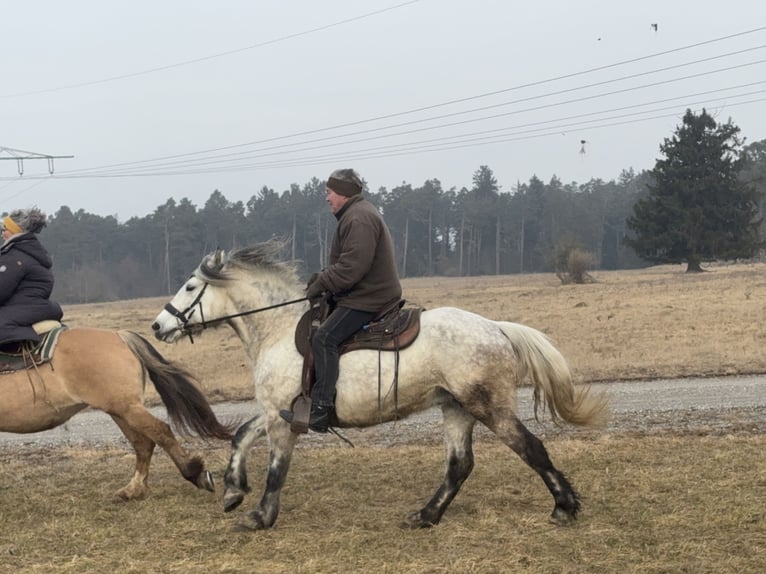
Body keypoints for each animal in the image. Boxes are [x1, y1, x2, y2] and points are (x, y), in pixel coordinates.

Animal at [0, 328, 236, 501]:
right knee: (143, 443)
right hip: (120, 411)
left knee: (160, 432)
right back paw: (133, 490)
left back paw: (193, 473)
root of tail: (120, 335)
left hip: (127, 409)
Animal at [151, 242, 609, 531]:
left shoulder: (284, 421)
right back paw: (426, 516)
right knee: (459, 465)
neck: (276, 328)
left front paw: (261, 516)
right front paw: (233, 490)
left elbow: (277, 468)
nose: (158, 325)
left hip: (488, 407)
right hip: (456, 408)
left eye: (190, 286)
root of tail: (495, 327)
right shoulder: (279, 410)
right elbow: (242, 436)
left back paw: (564, 508)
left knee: (532, 449)